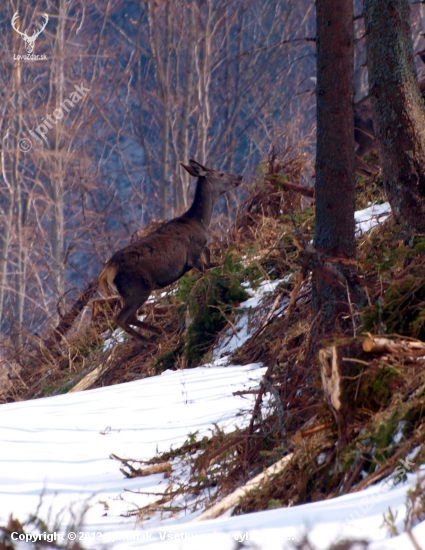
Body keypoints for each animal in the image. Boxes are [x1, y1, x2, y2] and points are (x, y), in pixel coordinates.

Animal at [97, 157, 242, 342]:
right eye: (221, 173)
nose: (239, 176)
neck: (200, 222)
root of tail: (106, 273)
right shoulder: (193, 255)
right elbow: (206, 271)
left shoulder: (201, 251)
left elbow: (211, 260)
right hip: (136, 289)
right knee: (121, 318)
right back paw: (148, 339)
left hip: (130, 293)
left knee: (131, 317)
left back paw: (158, 332)